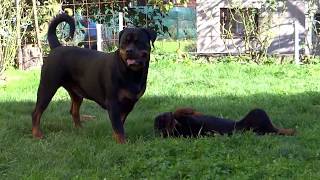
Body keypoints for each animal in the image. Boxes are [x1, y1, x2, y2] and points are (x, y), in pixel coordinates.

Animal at [31, 13, 157, 143]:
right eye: (124, 43)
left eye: (139, 42)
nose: (129, 51)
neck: (131, 73)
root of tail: (57, 47)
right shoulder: (113, 103)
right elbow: (118, 127)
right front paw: (122, 143)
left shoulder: (129, 104)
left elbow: (119, 124)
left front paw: (116, 139)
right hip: (47, 87)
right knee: (36, 112)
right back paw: (37, 134)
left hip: (76, 94)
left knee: (74, 111)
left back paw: (80, 129)